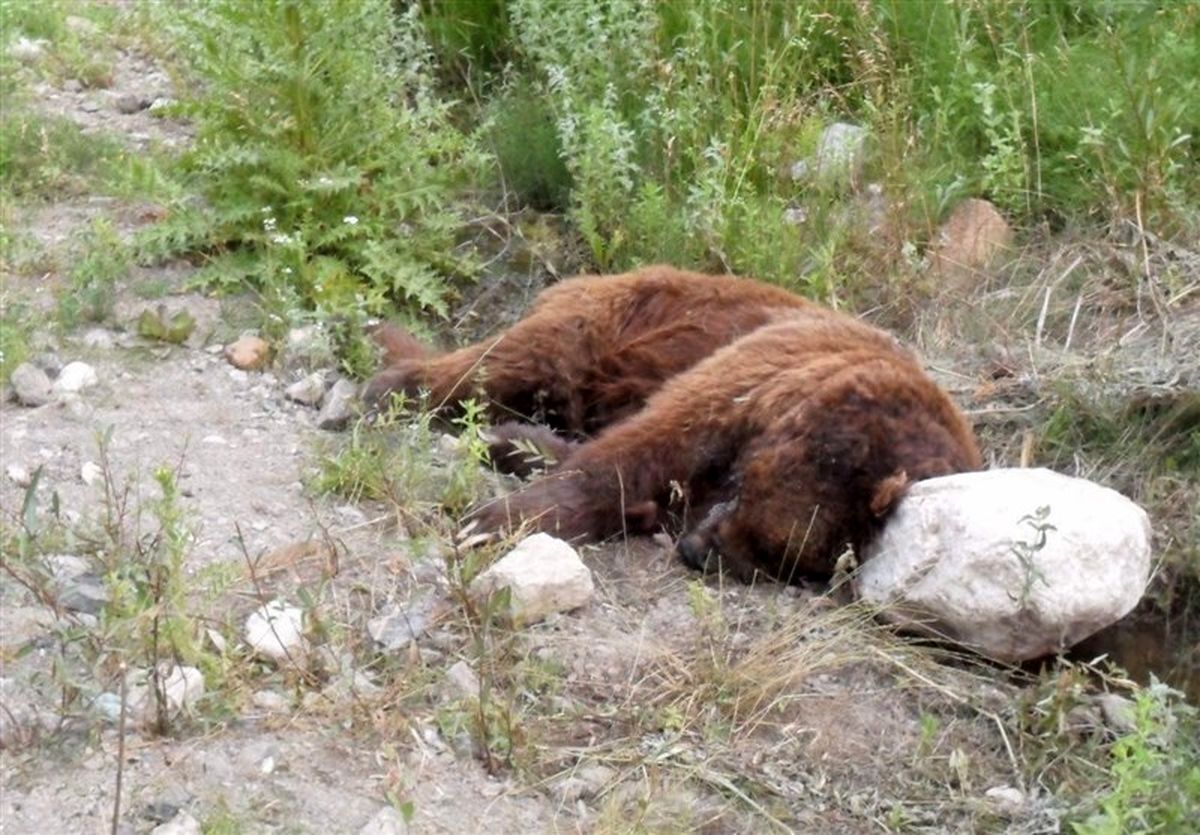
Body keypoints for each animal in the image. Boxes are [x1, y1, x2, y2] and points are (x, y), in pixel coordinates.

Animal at [367, 266, 984, 580]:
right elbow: (648, 445)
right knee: (510, 361)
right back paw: (391, 388)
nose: (699, 552)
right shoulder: (762, 367)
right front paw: (489, 521)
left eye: (784, 561)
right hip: (606, 317)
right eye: (768, 536)